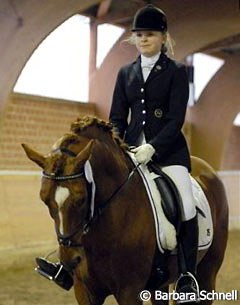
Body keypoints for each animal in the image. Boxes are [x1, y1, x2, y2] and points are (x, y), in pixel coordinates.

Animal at [22, 115, 229, 302]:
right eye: (44, 199)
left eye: (81, 198)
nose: (71, 261)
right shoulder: (84, 290)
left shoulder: (129, 292)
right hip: (159, 284)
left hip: (207, 272)